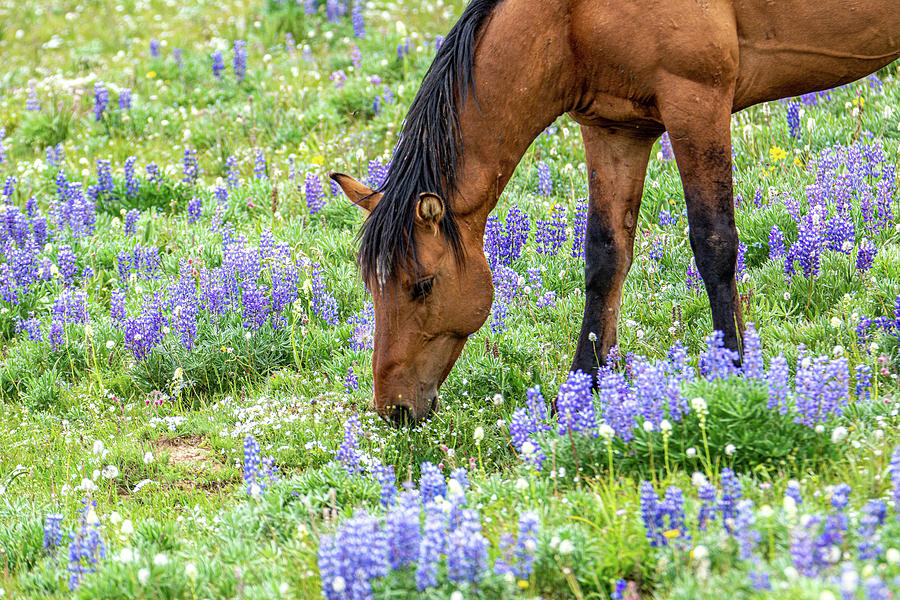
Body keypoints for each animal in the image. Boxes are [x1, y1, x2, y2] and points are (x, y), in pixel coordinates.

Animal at [332, 0, 900, 424]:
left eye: (422, 285)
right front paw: (581, 390)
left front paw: (734, 372)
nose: (393, 410)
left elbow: (714, 243)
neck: (571, 17)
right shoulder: (614, 128)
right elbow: (606, 258)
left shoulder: (696, 100)